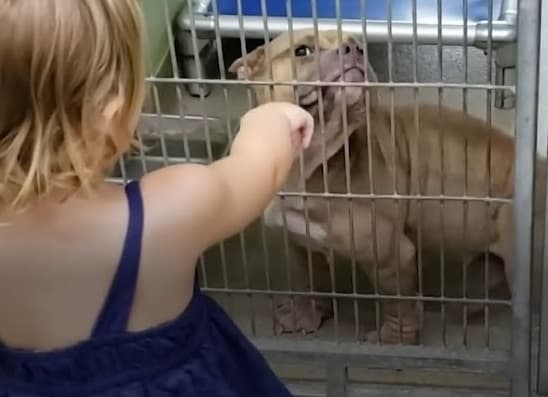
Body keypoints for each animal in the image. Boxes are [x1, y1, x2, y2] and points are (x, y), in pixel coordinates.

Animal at [227, 29, 544, 344]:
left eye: (358, 45)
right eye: (302, 51)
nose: (354, 49)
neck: (312, 162)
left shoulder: (390, 254)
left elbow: (397, 304)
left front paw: (394, 339)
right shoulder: (301, 241)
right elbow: (312, 278)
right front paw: (307, 313)